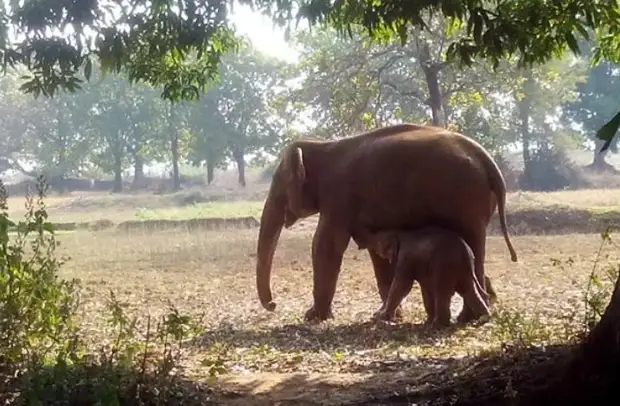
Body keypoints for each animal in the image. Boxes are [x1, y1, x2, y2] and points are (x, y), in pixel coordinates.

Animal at [356, 225, 492, 326]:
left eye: (378, 242)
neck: (399, 233)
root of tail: (465, 252)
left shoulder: (406, 258)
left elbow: (403, 286)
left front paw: (381, 318)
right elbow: (425, 287)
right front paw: (427, 321)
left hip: (445, 265)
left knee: (442, 291)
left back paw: (437, 325)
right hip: (462, 269)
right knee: (469, 291)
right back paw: (485, 319)